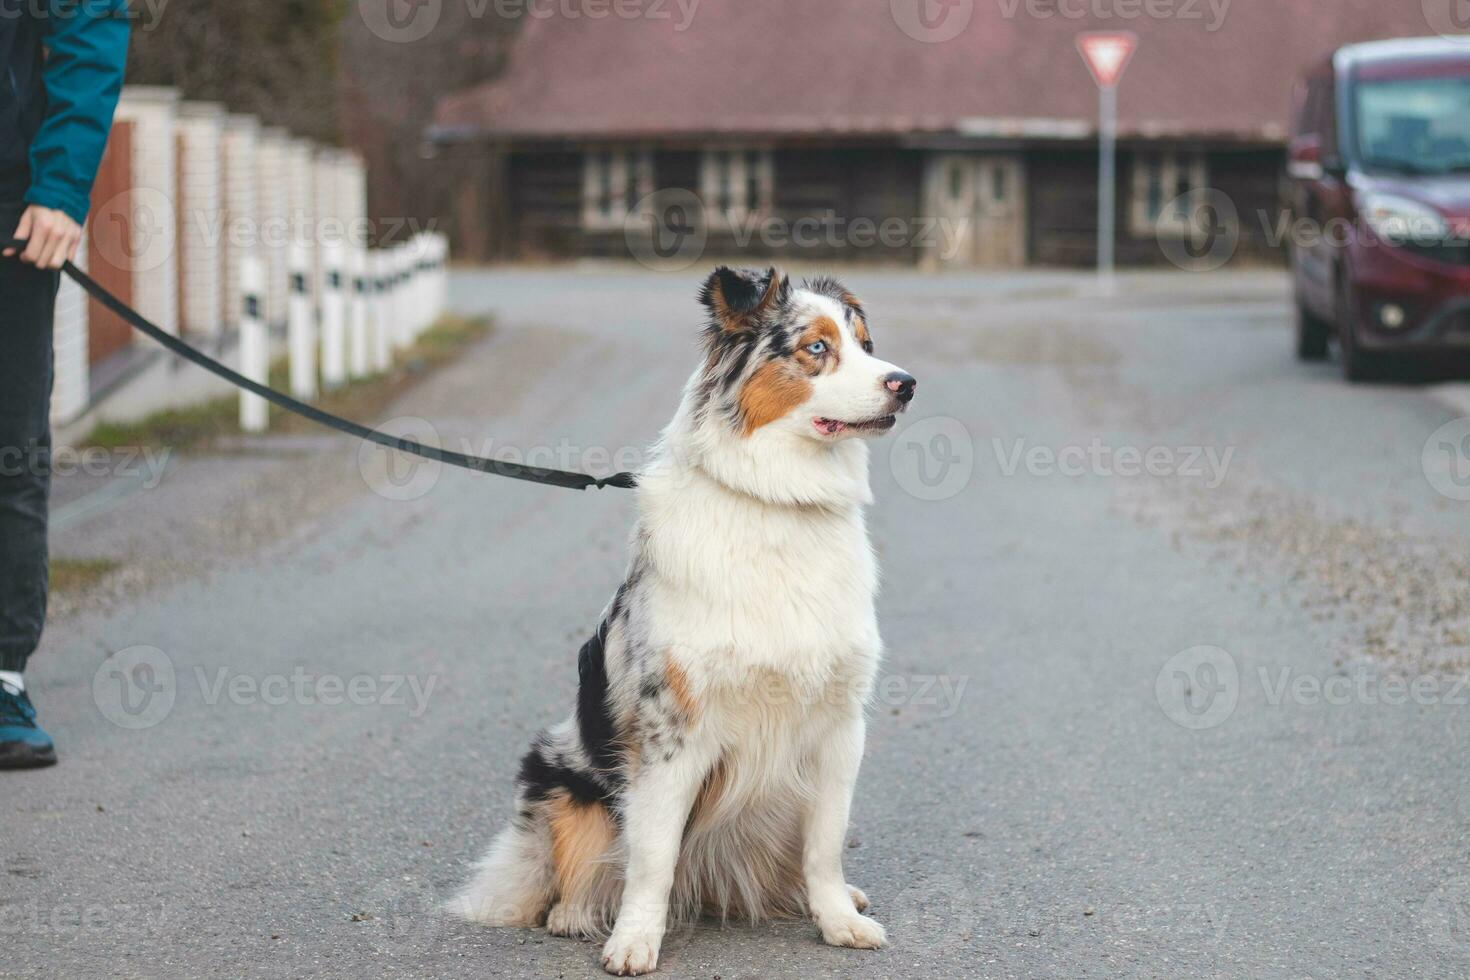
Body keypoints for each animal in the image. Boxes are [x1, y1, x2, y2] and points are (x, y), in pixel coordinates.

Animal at [446, 264, 911, 975]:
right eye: (817, 348)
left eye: (866, 344)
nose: (906, 385)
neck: (778, 503)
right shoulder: (672, 732)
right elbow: (653, 856)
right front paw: (635, 940)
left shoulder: (839, 724)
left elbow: (826, 843)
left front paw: (837, 920)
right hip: (559, 769)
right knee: (574, 871)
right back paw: (576, 915)